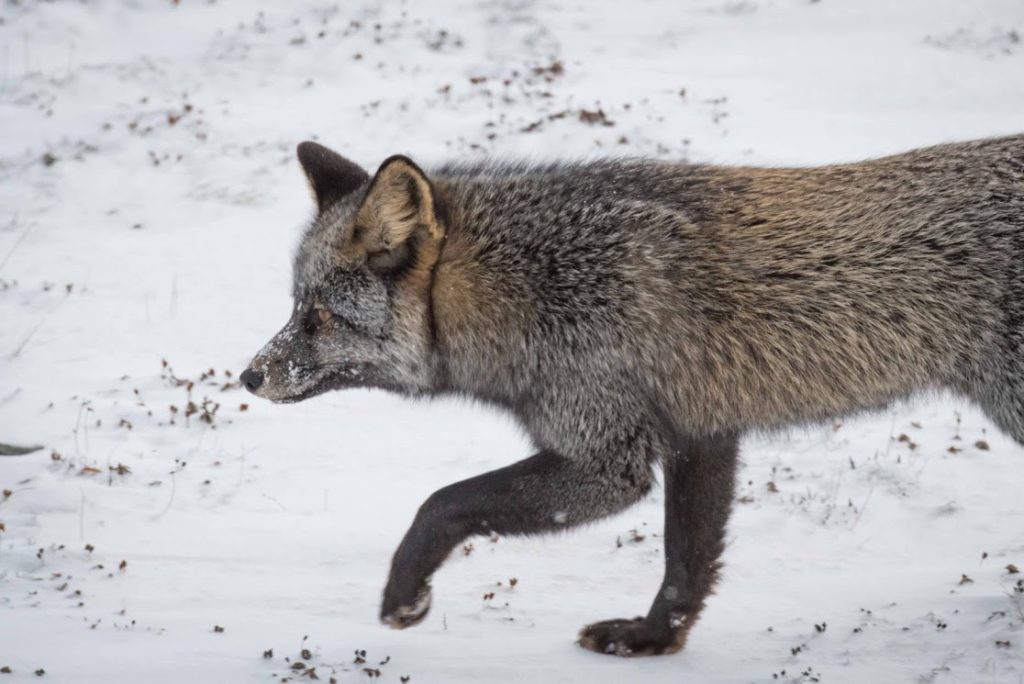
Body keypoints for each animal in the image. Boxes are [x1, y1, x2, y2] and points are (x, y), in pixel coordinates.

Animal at [241, 134, 1024, 657]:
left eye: (319, 318)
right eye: (295, 307)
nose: (248, 376)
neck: (529, 288)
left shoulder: (608, 462)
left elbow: (443, 502)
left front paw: (405, 593)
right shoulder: (702, 433)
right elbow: (686, 564)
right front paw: (651, 641)